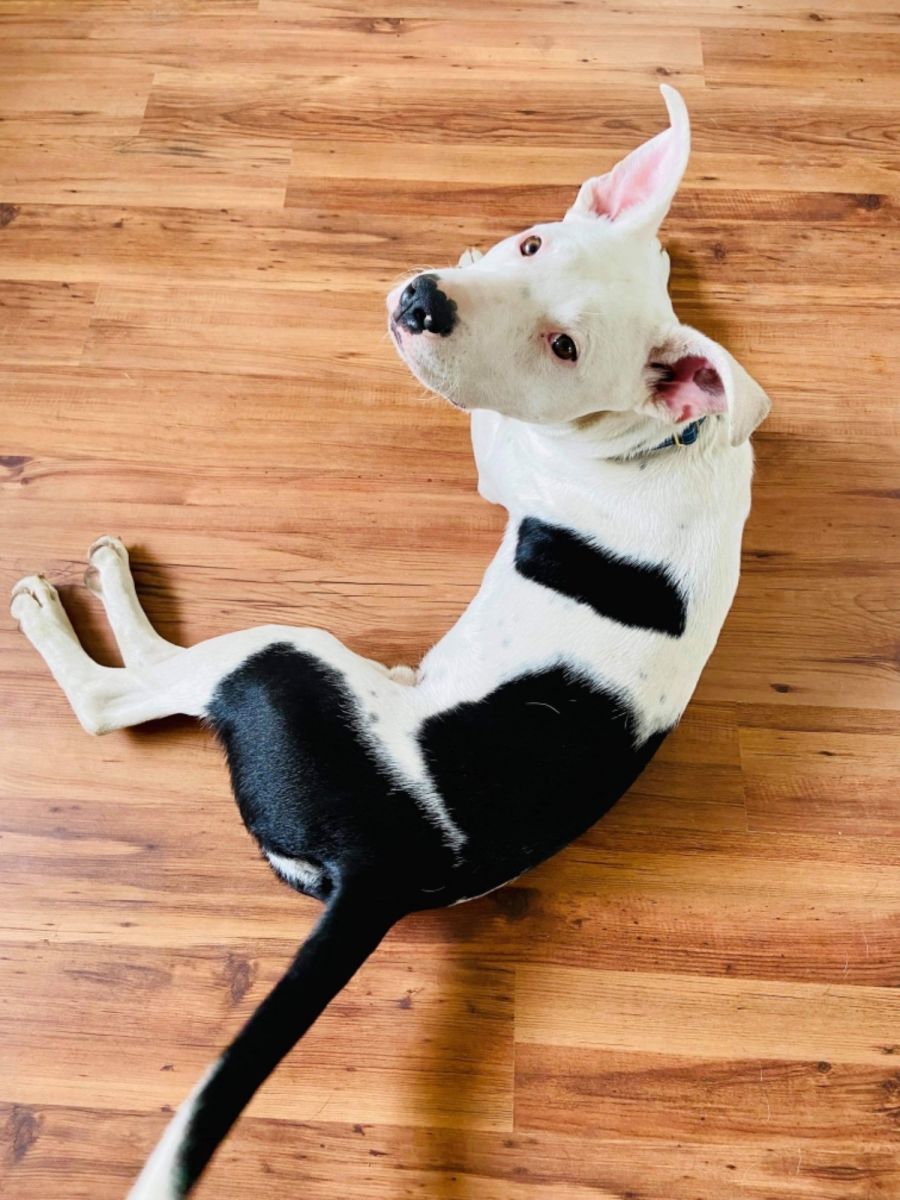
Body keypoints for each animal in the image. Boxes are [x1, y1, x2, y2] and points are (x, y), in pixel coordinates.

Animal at [10, 86, 769, 1199]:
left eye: (564, 348)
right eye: (531, 242)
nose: (424, 301)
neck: (658, 440)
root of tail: (384, 862)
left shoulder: (498, 452)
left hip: (287, 659)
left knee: (126, 695)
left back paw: (78, 603)